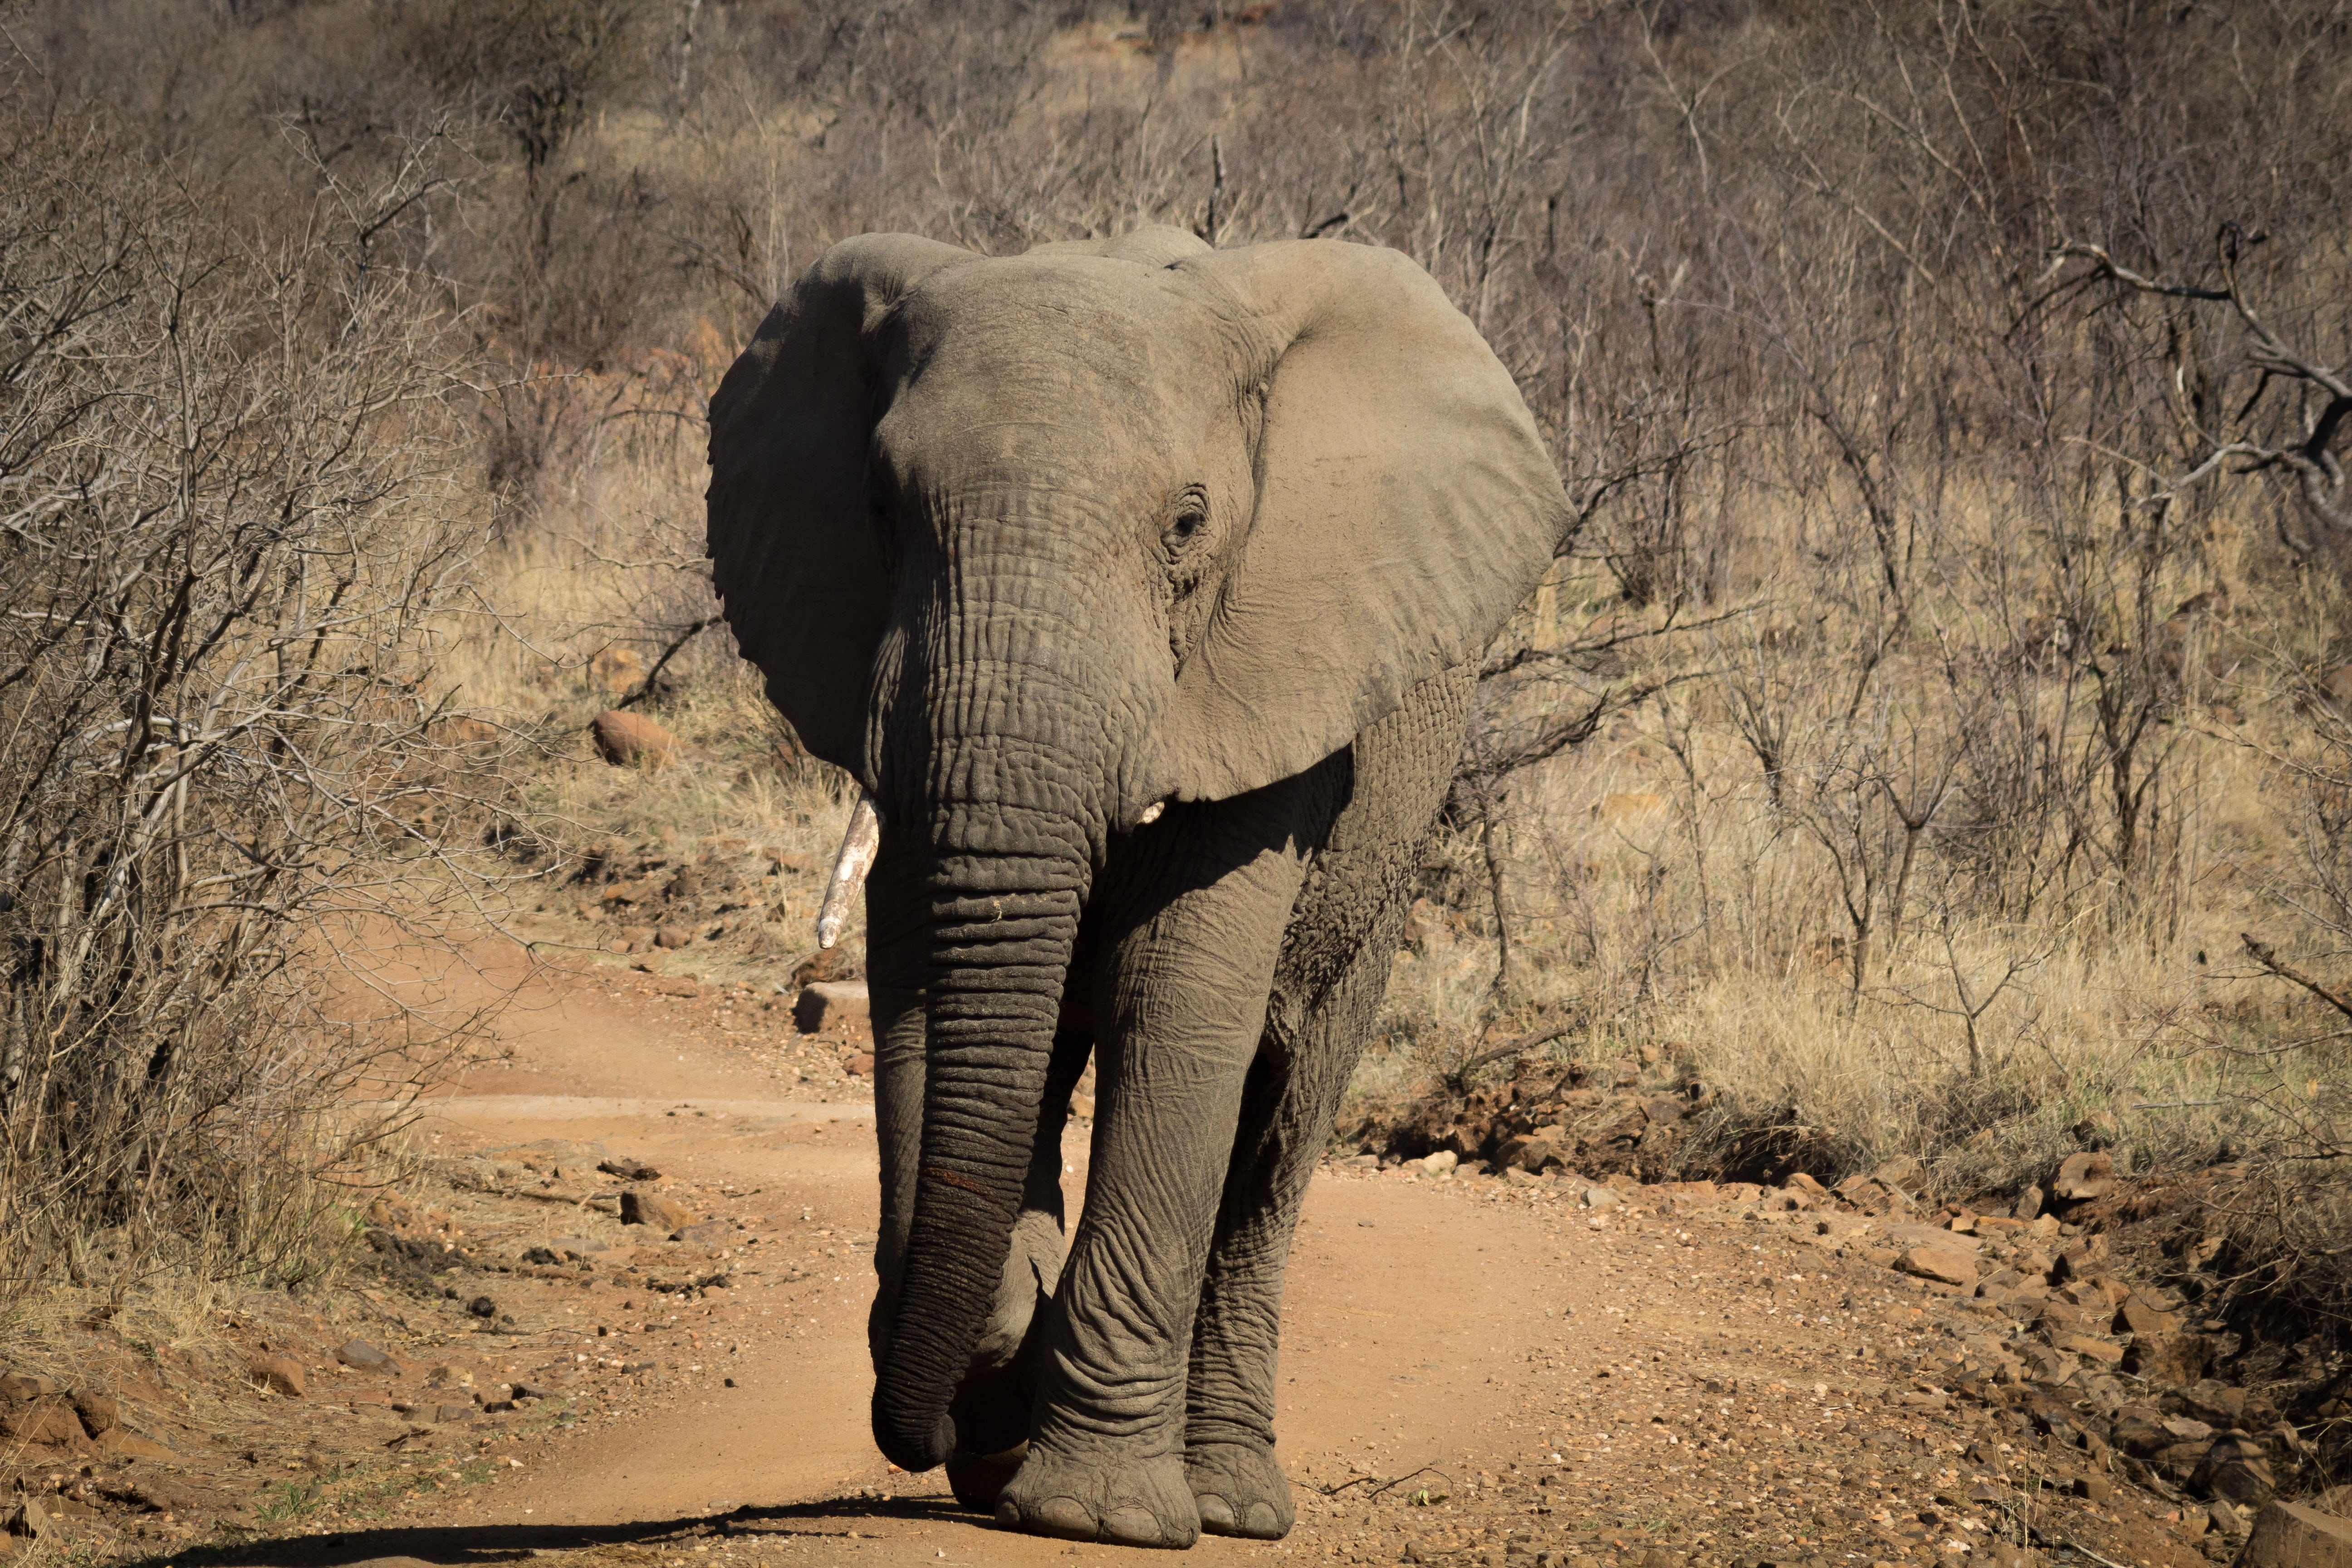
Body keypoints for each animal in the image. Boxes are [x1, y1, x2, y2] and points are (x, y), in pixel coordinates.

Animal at [704, 224, 1569, 1548]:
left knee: (1276, 1133)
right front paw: (1003, 1358)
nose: (926, 1430)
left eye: (1187, 524)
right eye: (880, 509)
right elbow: (917, 987)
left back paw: (1231, 1502)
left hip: (1388, 852)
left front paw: (1093, 1513)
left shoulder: (1269, 676)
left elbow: (1179, 998)